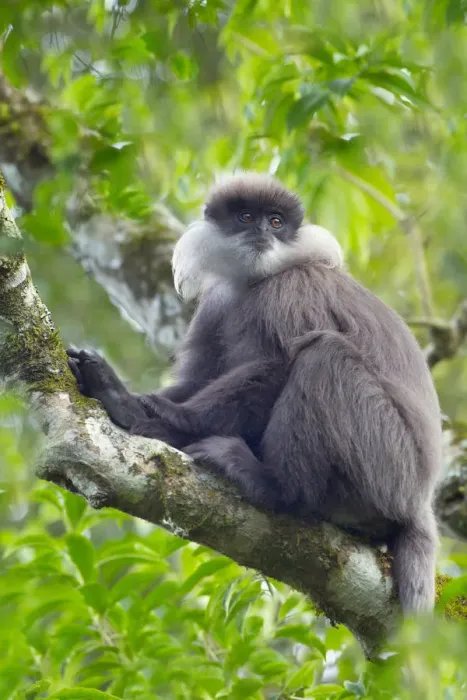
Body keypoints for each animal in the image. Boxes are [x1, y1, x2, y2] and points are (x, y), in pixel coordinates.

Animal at [67, 172, 443, 615]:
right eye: (247, 217)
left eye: (276, 222)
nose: (263, 232)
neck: (254, 282)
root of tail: (420, 501)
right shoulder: (216, 303)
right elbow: (198, 379)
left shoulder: (293, 288)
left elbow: (276, 366)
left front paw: (136, 410)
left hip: (389, 465)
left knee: (323, 355)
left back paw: (275, 487)